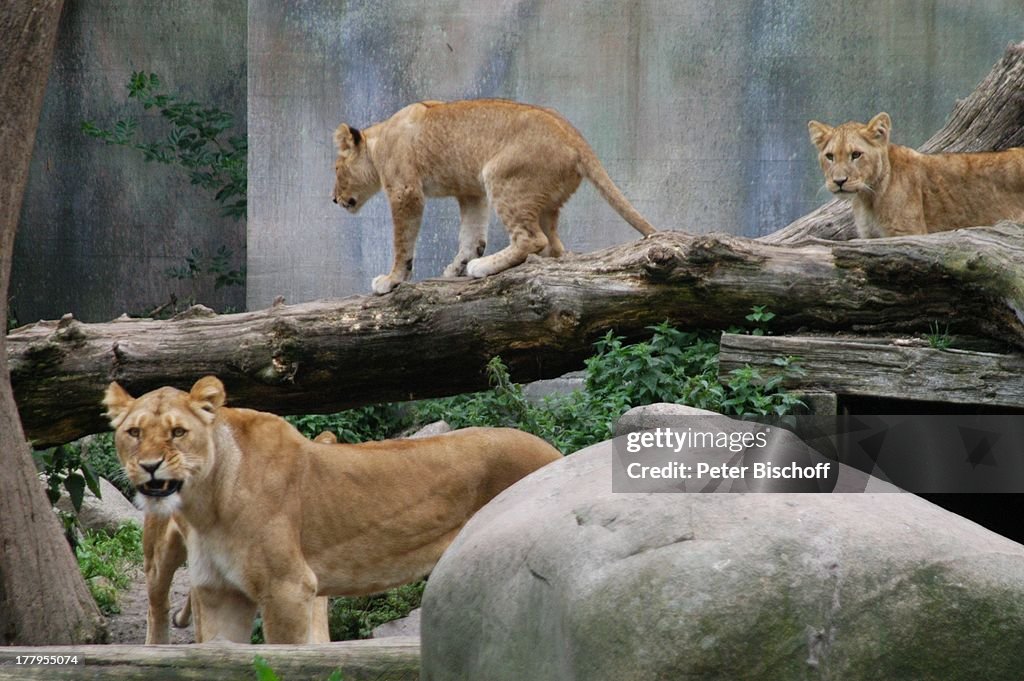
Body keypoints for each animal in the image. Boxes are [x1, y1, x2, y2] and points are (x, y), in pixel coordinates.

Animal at [104, 376, 561, 643]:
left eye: (179, 432)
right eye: (134, 432)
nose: (149, 466)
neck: (207, 502)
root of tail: (555, 452)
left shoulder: (288, 588)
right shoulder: (220, 594)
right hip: (160, 561)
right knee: (156, 608)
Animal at [332, 98, 656, 295]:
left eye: (336, 169)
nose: (334, 200)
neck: (378, 141)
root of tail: (574, 136)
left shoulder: (405, 191)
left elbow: (402, 242)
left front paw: (392, 280)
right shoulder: (472, 192)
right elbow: (471, 235)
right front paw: (456, 268)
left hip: (501, 178)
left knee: (532, 239)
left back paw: (484, 266)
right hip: (540, 200)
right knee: (553, 247)